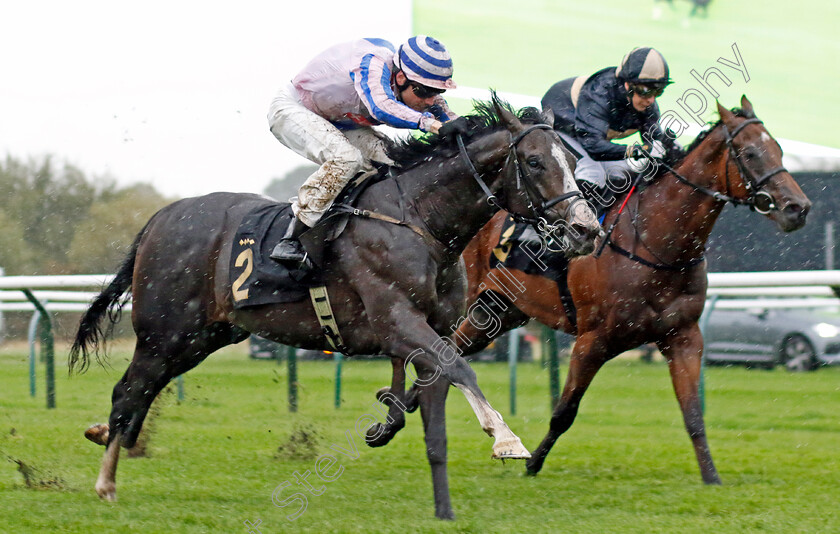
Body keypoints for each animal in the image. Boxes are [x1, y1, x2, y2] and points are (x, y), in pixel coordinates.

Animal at [69, 96, 600, 520]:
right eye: (534, 161)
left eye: (571, 160)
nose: (586, 229)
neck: (418, 221)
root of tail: (160, 217)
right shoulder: (396, 320)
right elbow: (461, 370)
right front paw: (506, 439)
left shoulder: (433, 330)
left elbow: (435, 416)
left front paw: (441, 505)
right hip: (164, 333)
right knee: (127, 391)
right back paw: (106, 482)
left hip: (203, 337)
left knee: (142, 392)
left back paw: (105, 437)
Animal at [378, 97, 808, 490]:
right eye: (750, 152)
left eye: (778, 149)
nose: (797, 207)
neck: (655, 239)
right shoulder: (593, 340)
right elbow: (564, 412)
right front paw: (532, 463)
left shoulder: (684, 336)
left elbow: (693, 414)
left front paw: (711, 477)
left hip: (498, 312)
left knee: (453, 350)